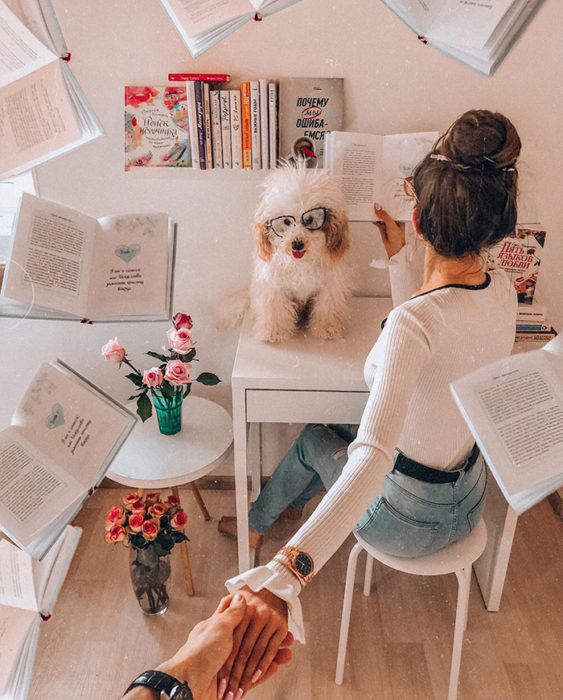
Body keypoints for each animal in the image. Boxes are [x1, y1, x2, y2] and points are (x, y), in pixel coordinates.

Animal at [218, 161, 350, 342]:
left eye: (309, 219)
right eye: (287, 221)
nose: (297, 244)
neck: (300, 262)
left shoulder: (330, 287)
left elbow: (327, 308)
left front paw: (327, 329)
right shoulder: (273, 287)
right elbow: (275, 310)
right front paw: (274, 333)